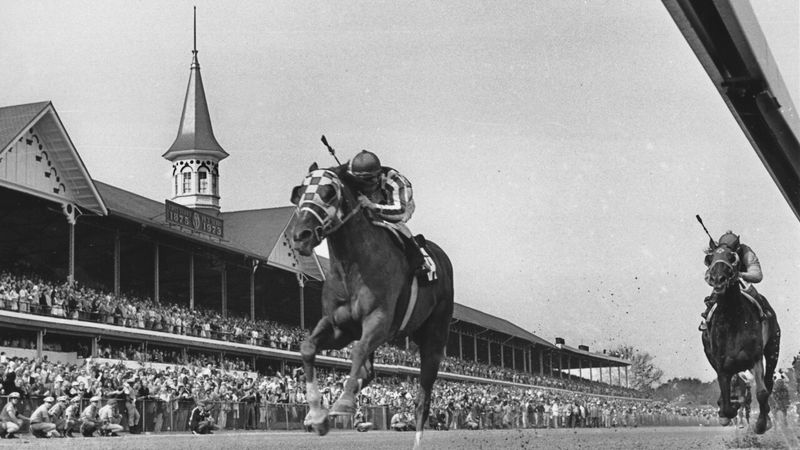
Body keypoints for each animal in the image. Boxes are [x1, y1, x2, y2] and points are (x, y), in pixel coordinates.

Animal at [288, 161, 454, 446]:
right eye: (299, 192)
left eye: (329, 192)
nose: (301, 235)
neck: (352, 266)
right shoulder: (339, 326)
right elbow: (308, 347)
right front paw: (316, 415)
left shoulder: (379, 320)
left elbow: (357, 350)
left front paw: (343, 403)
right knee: (369, 372)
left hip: (434, 336)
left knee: (423, 399)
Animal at [704, 244, 780, 434]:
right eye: (710, 258)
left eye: (732, 257)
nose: (717, 279)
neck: (732, 319)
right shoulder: (722, 365)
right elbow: (727, 404)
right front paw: (725, 414)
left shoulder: (755, 358)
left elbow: (762, 393)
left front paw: (761, 424)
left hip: (773, 348)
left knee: (768, 382)